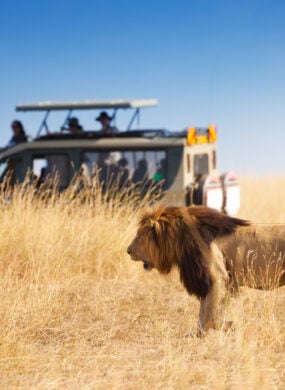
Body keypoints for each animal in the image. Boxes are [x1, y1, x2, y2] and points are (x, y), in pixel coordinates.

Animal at [126, 206, 284, 336]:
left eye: (139, 235)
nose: (128, 251)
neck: (181, 239)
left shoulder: (217, 278)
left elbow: (210, 311)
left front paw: (225, 326)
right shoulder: (211, 282)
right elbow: (204, 310)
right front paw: (199, 333)